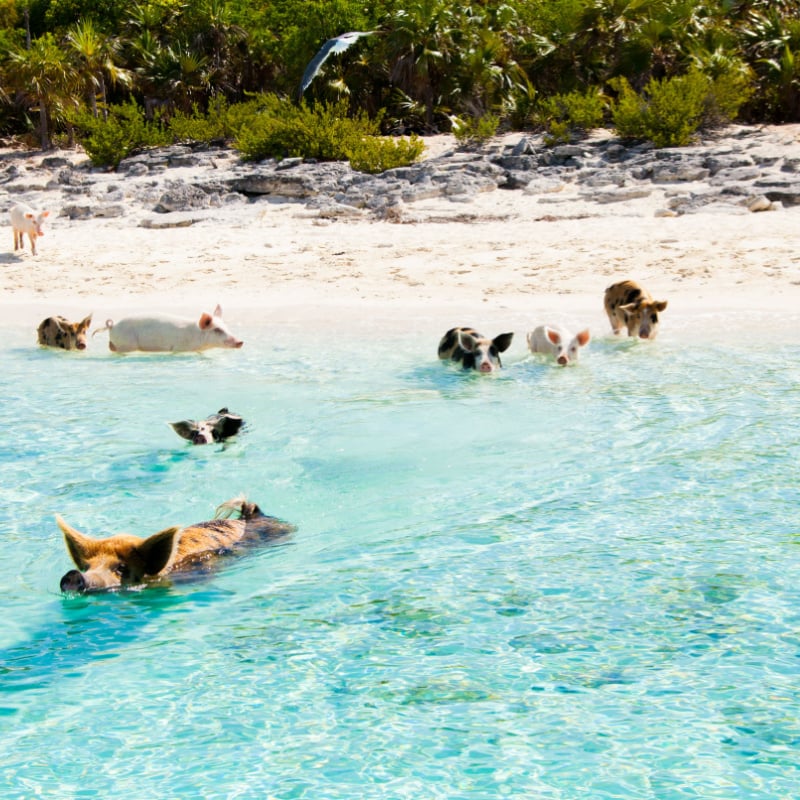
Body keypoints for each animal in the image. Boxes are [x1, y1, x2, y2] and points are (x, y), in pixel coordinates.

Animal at [100, 304, 244, 352]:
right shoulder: (180, 348)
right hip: (126, 343)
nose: (240, 342)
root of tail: (112, 326)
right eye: (217, 330)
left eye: (226, 326)